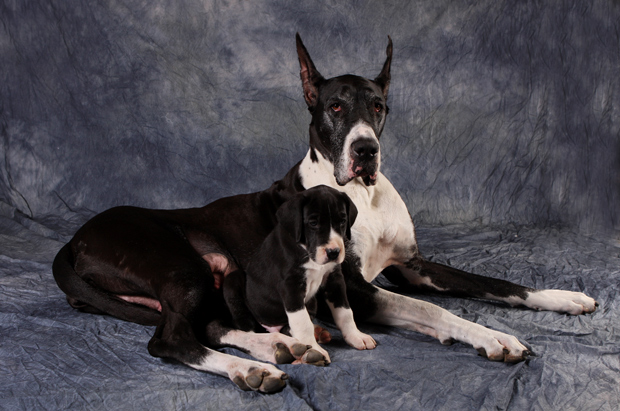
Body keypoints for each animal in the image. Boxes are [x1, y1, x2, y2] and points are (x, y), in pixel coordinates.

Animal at [225, 185, 376, 366]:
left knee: (289, 327)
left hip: (312, 303)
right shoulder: (291, 285)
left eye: (342, 221)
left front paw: (356, 336)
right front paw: (314, 350)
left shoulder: (334, 279)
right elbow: (302, 322)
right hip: (233, 282)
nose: (333, 252)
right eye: (313, 223)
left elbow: (345, 312)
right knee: (249, 327)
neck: (307, 251)